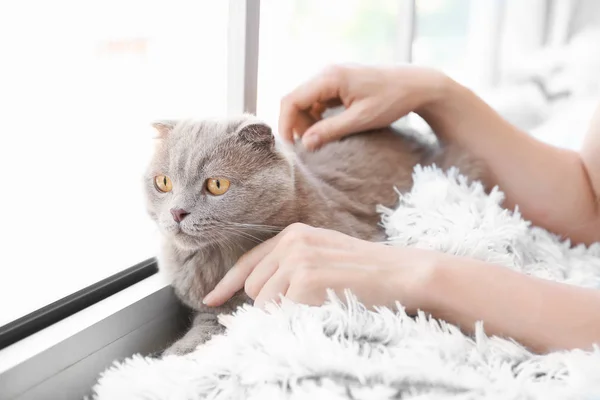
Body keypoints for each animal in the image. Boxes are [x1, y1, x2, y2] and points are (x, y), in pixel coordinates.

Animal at [145, 113, 488, 356]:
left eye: (217, 185)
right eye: (163, 182)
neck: (219, 257)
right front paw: (180, 351)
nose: (177, 212)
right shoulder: (208, 304)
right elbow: (209, 319)